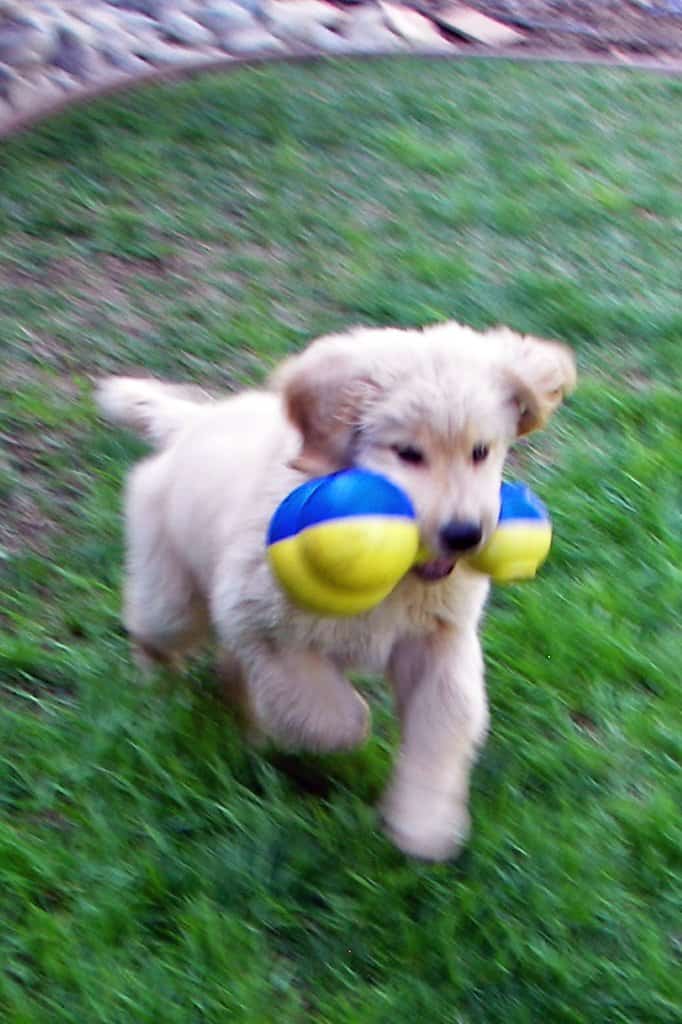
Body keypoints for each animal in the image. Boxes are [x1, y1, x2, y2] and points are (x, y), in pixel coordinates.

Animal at [95, 317, 573, 856]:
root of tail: (194, 423)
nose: (464, 535)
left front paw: (425, 822)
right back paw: (159, 691)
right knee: (155, 632)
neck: (399, 578)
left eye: (480, 451)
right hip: (173, 594)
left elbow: (444, 723)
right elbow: (329, 714)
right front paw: (335, 737)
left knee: (228, 665)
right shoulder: (264, 625)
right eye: (408, 453)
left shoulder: (438, 640)